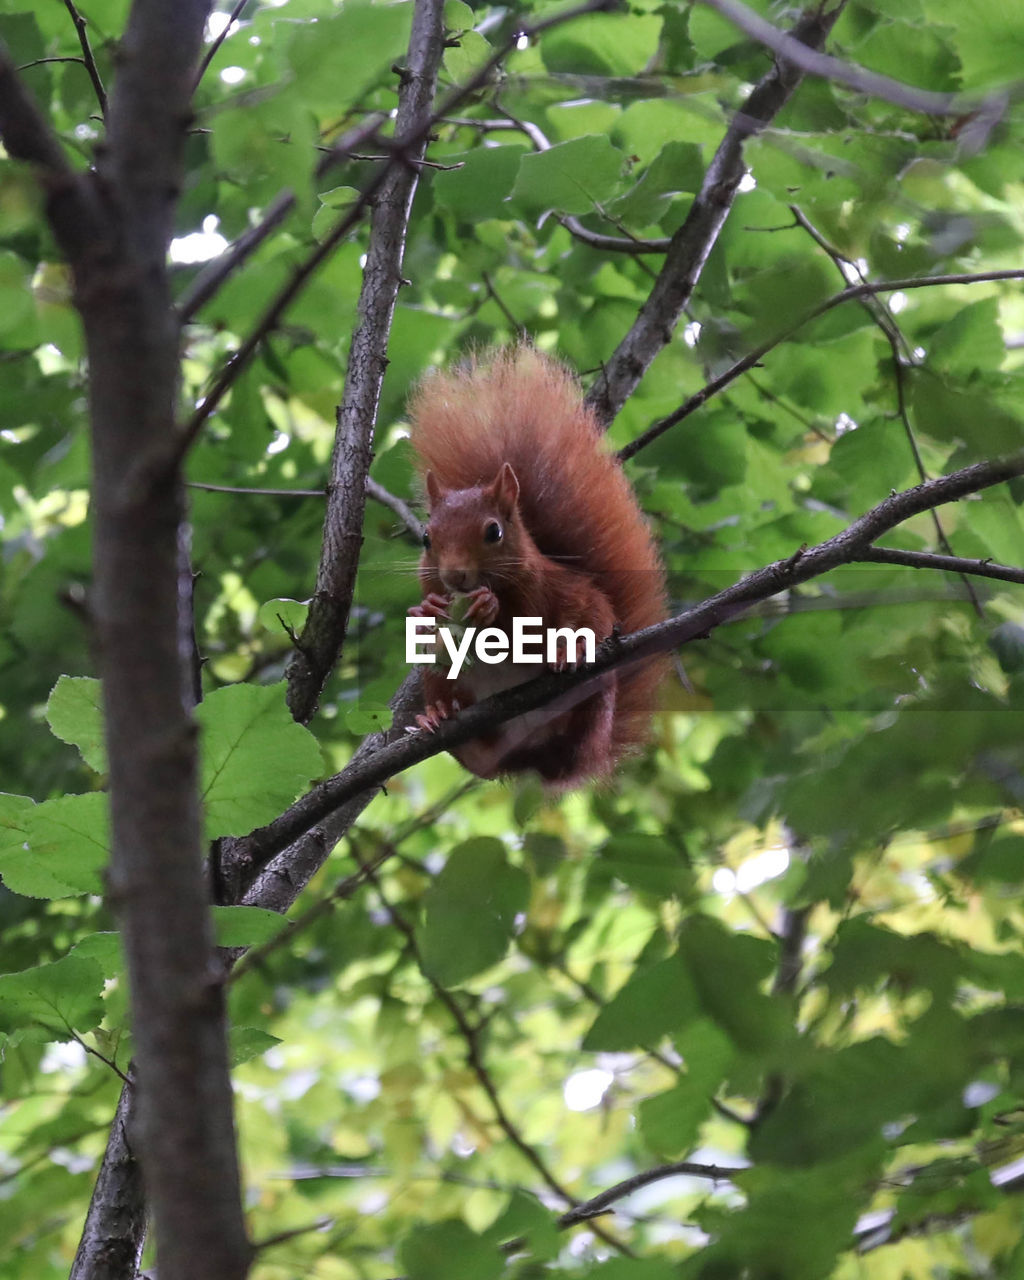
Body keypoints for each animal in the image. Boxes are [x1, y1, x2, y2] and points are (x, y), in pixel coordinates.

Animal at [404, 350, 665, 788]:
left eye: (493, 531)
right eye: (426, 538)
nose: (455, 576)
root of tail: (535, 758)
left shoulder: (541, 588)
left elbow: (521, 620)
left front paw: (489, 607)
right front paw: (426, 612)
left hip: (594, 698)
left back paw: (568, 656)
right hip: (443, 685)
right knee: (479, 756)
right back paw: (437, 715)